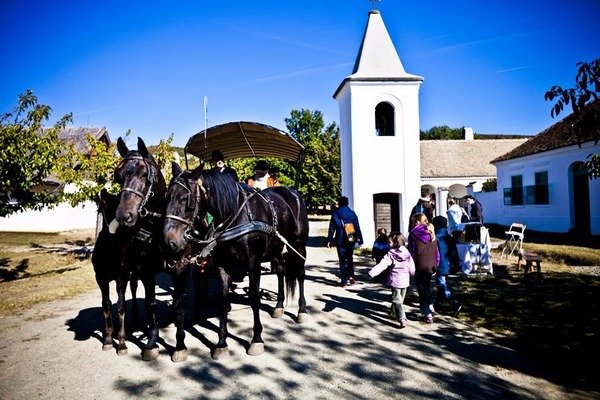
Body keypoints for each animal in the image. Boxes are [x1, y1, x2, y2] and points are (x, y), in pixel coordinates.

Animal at [91, 138, 166, 362]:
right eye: (118, 175)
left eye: (144, 175)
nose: (125, 216)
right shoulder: (141, 269)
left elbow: (152, 302)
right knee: (132, 288)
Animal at [162, 161, 308, 360]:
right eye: (167, 197)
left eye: (185, 198)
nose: (170, 242)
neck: (236, 216)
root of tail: (292, 192)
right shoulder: (223, 265)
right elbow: (223, 302)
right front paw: (221, 344)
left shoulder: (253, 263)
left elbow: (254, 298)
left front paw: (256, 340)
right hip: (276, 247)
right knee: (280, 270)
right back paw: (278, 306)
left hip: (298, 243)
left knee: (300, 273)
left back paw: (302, 310)